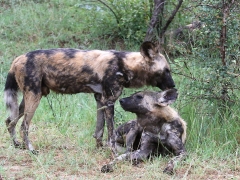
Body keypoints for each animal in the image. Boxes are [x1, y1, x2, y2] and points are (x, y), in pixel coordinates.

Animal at [3, 41, 174, 153]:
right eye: (166, 70)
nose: (173, 86)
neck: (125, 64)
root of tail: (18, 58)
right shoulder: (109, 101)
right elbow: (111, 133)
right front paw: (112, 151)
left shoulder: (100, 99)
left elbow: (99, 130)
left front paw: (99, 148)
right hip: (34, 97)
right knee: (24, 126)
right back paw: (31, 149)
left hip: (29, 97)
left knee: (10, 121)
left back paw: (17, 145)